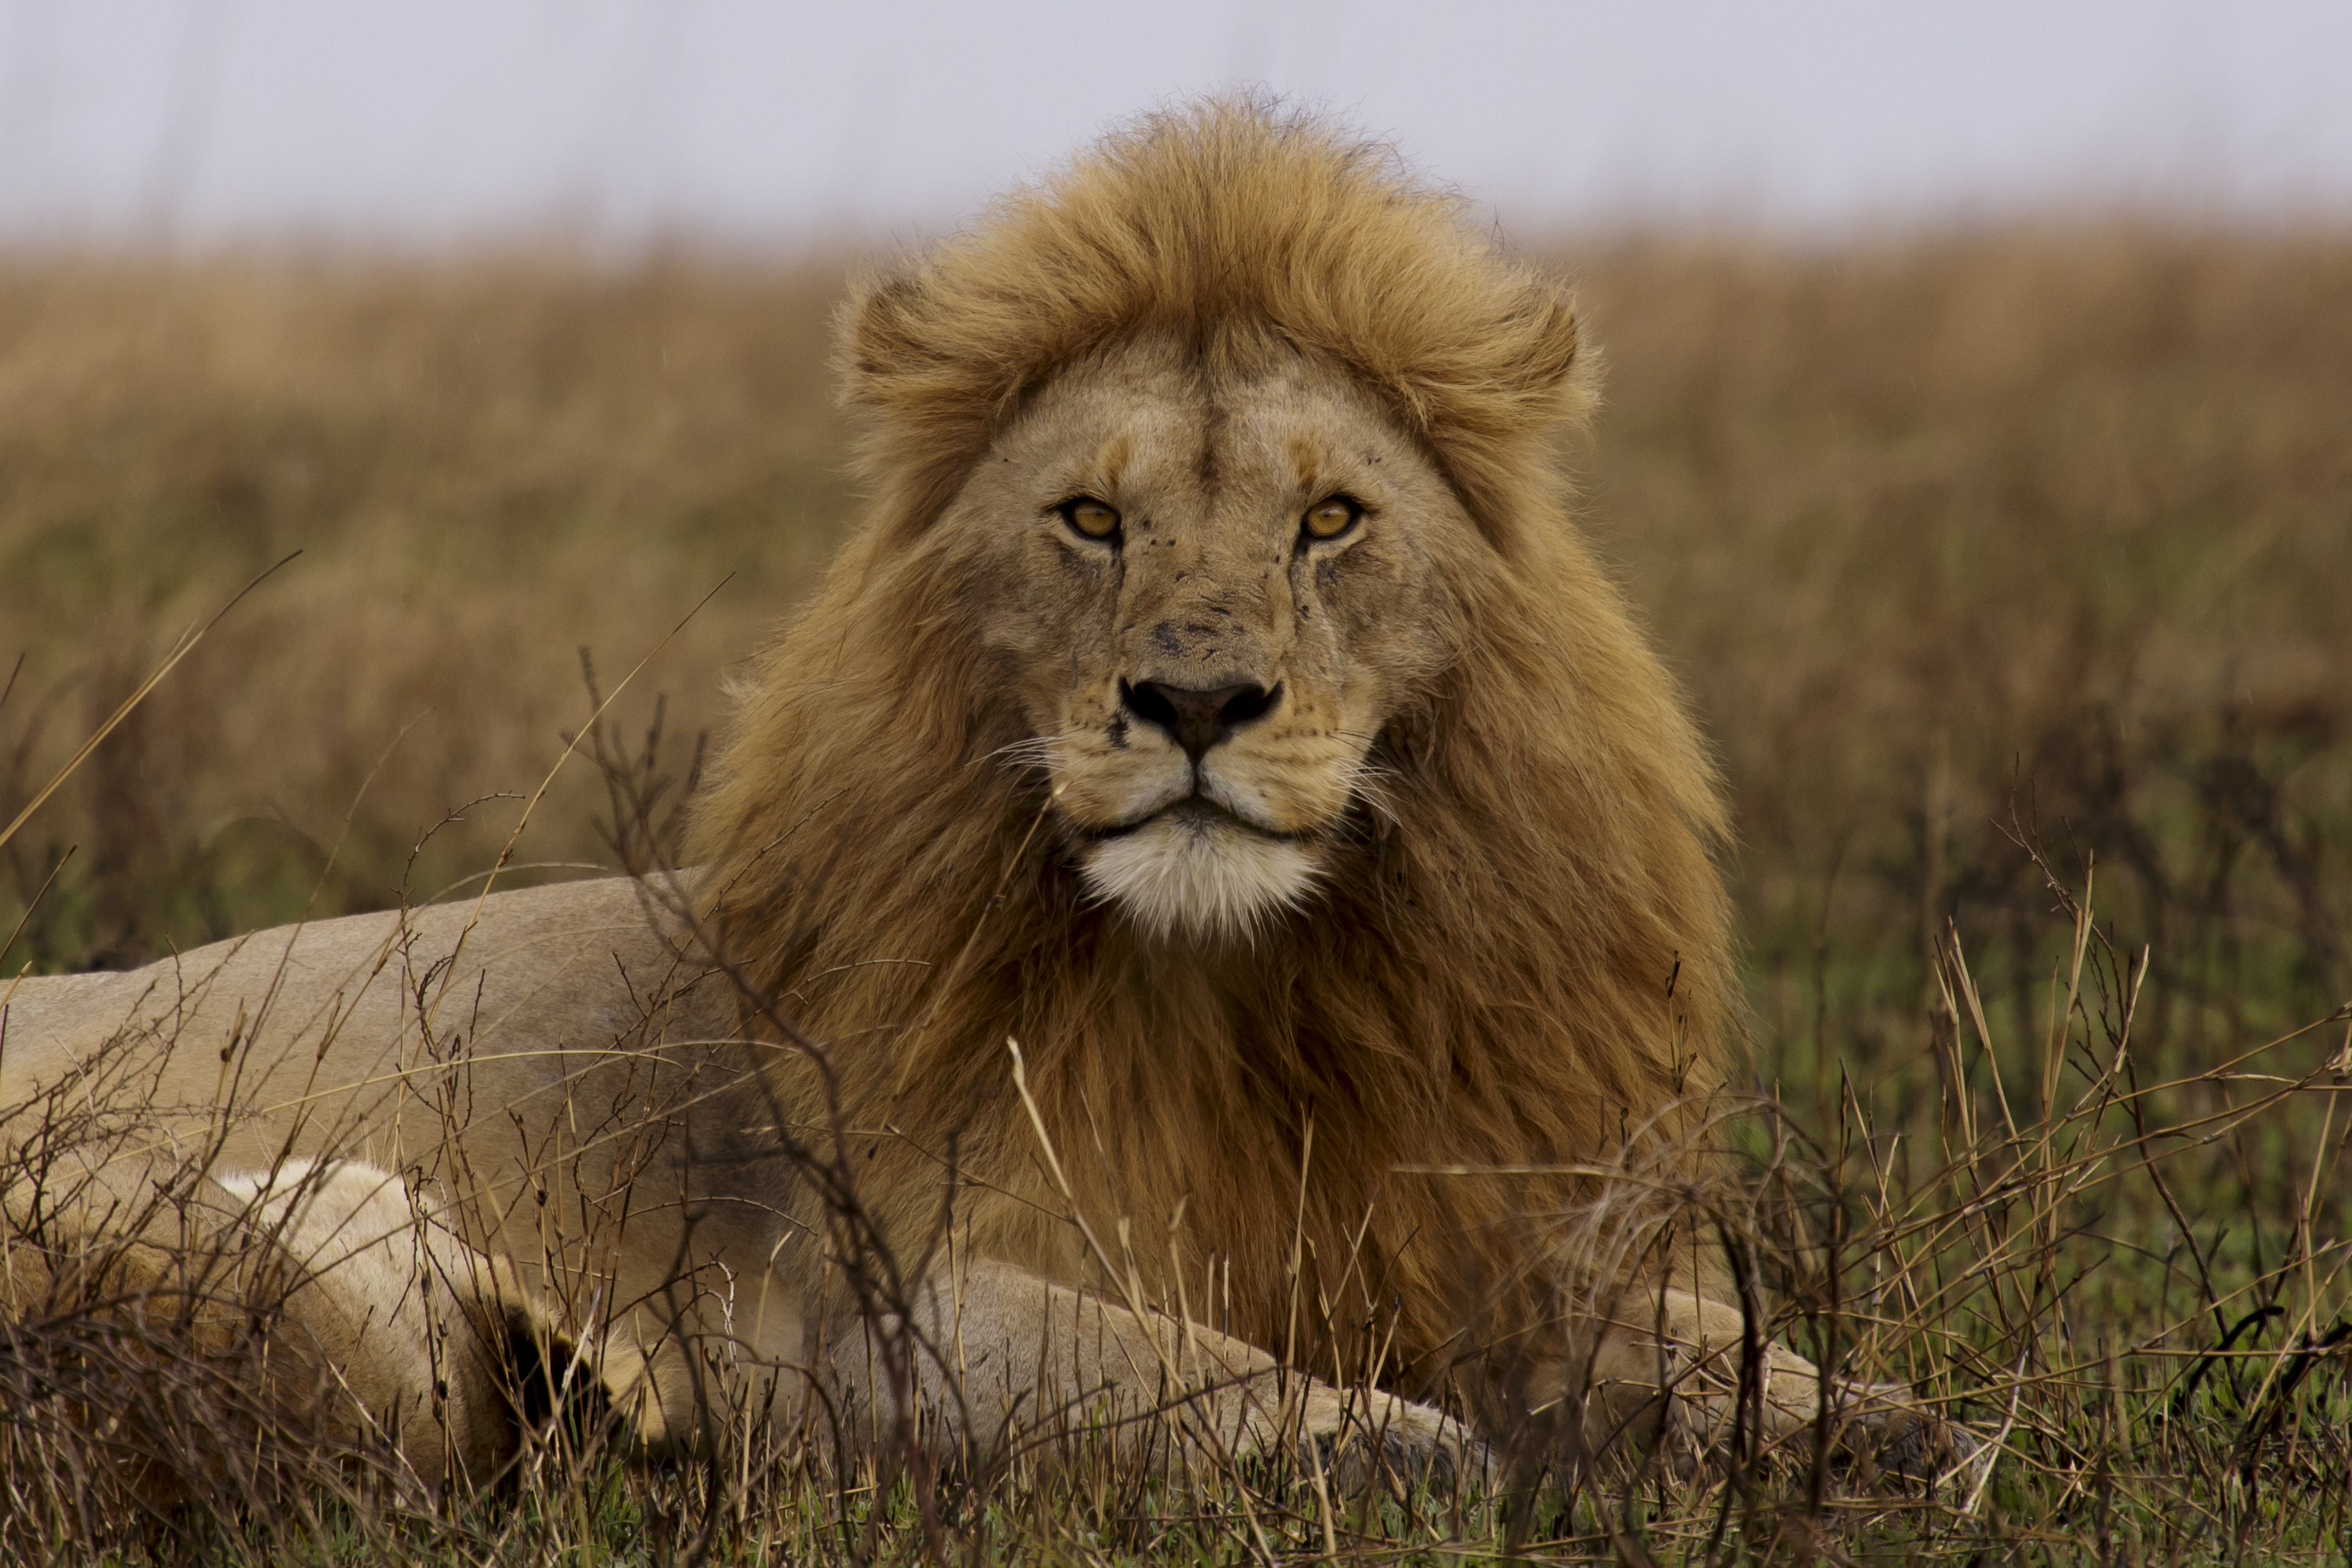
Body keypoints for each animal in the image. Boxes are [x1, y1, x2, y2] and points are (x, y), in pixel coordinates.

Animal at [0, 104, 1957, 1504]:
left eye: (1329, 520)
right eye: (1089, 519)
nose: (1192, 700)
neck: (1236, 1005)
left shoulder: (1448, 1228)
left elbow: (1692, 1330)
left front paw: (1874, 1416)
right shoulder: (849, 1294)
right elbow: (1162, 1363)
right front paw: (1385, 1440)